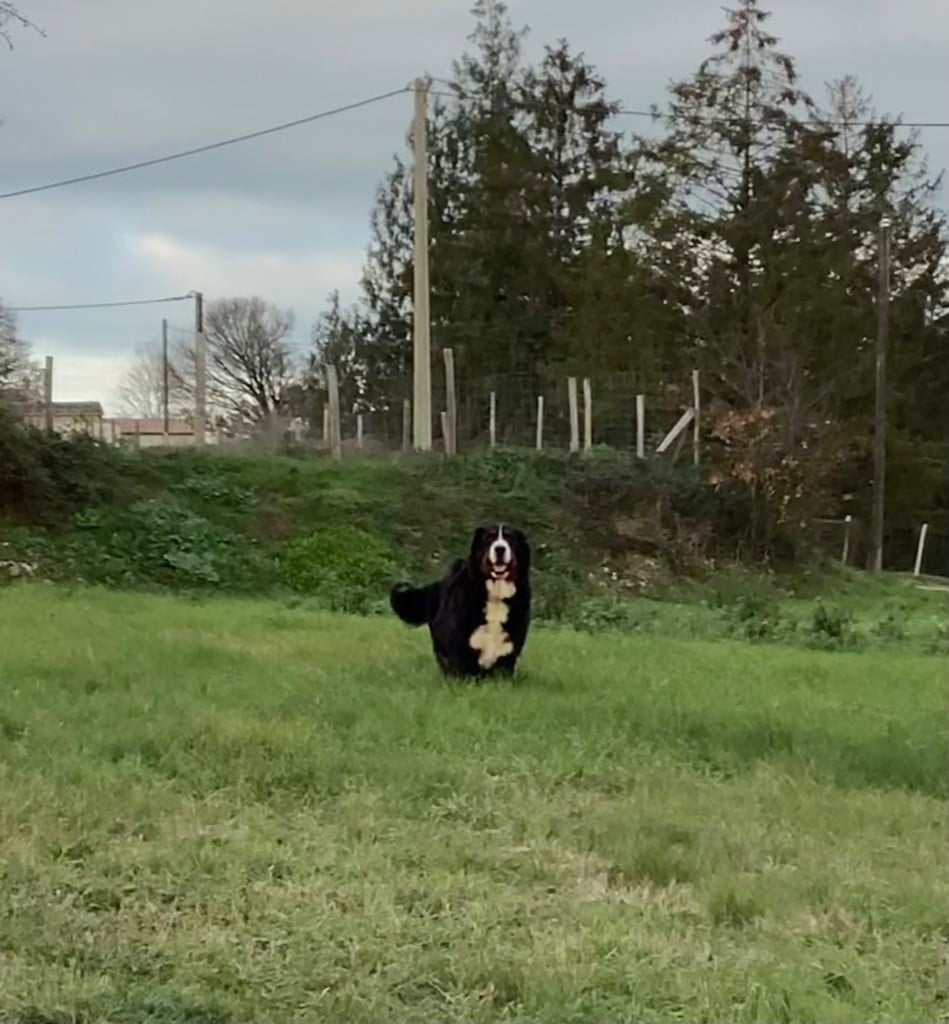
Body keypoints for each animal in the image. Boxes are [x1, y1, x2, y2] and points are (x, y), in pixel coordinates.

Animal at [389, 524, 532, 675]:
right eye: (489, 538)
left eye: (510, 538)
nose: (500, 548)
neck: (496, 595)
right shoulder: (460, 649)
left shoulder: (508, 651)